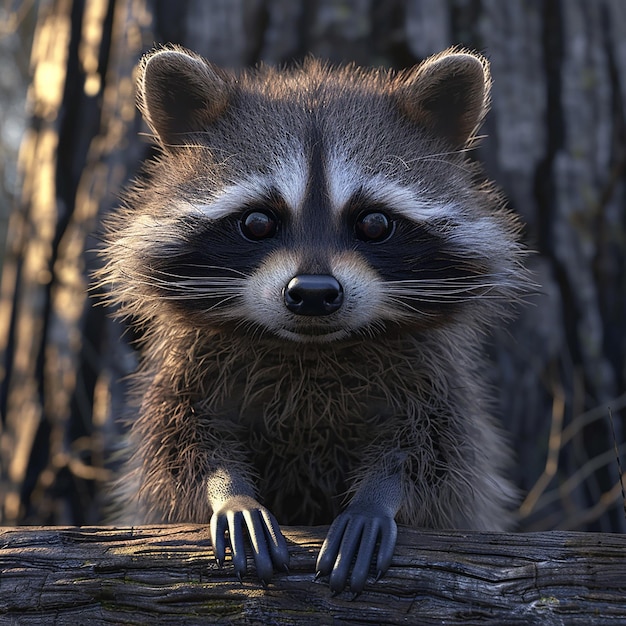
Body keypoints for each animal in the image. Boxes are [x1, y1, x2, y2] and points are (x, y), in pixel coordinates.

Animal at [98, 45, 528, 588]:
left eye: (374, 223)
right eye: (257, 222)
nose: (314, 294)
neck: (310, 348)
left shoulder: (433, 376)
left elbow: (434, 456)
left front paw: (378, 498)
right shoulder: (188, 371)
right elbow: (181, 452)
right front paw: (230, 493)